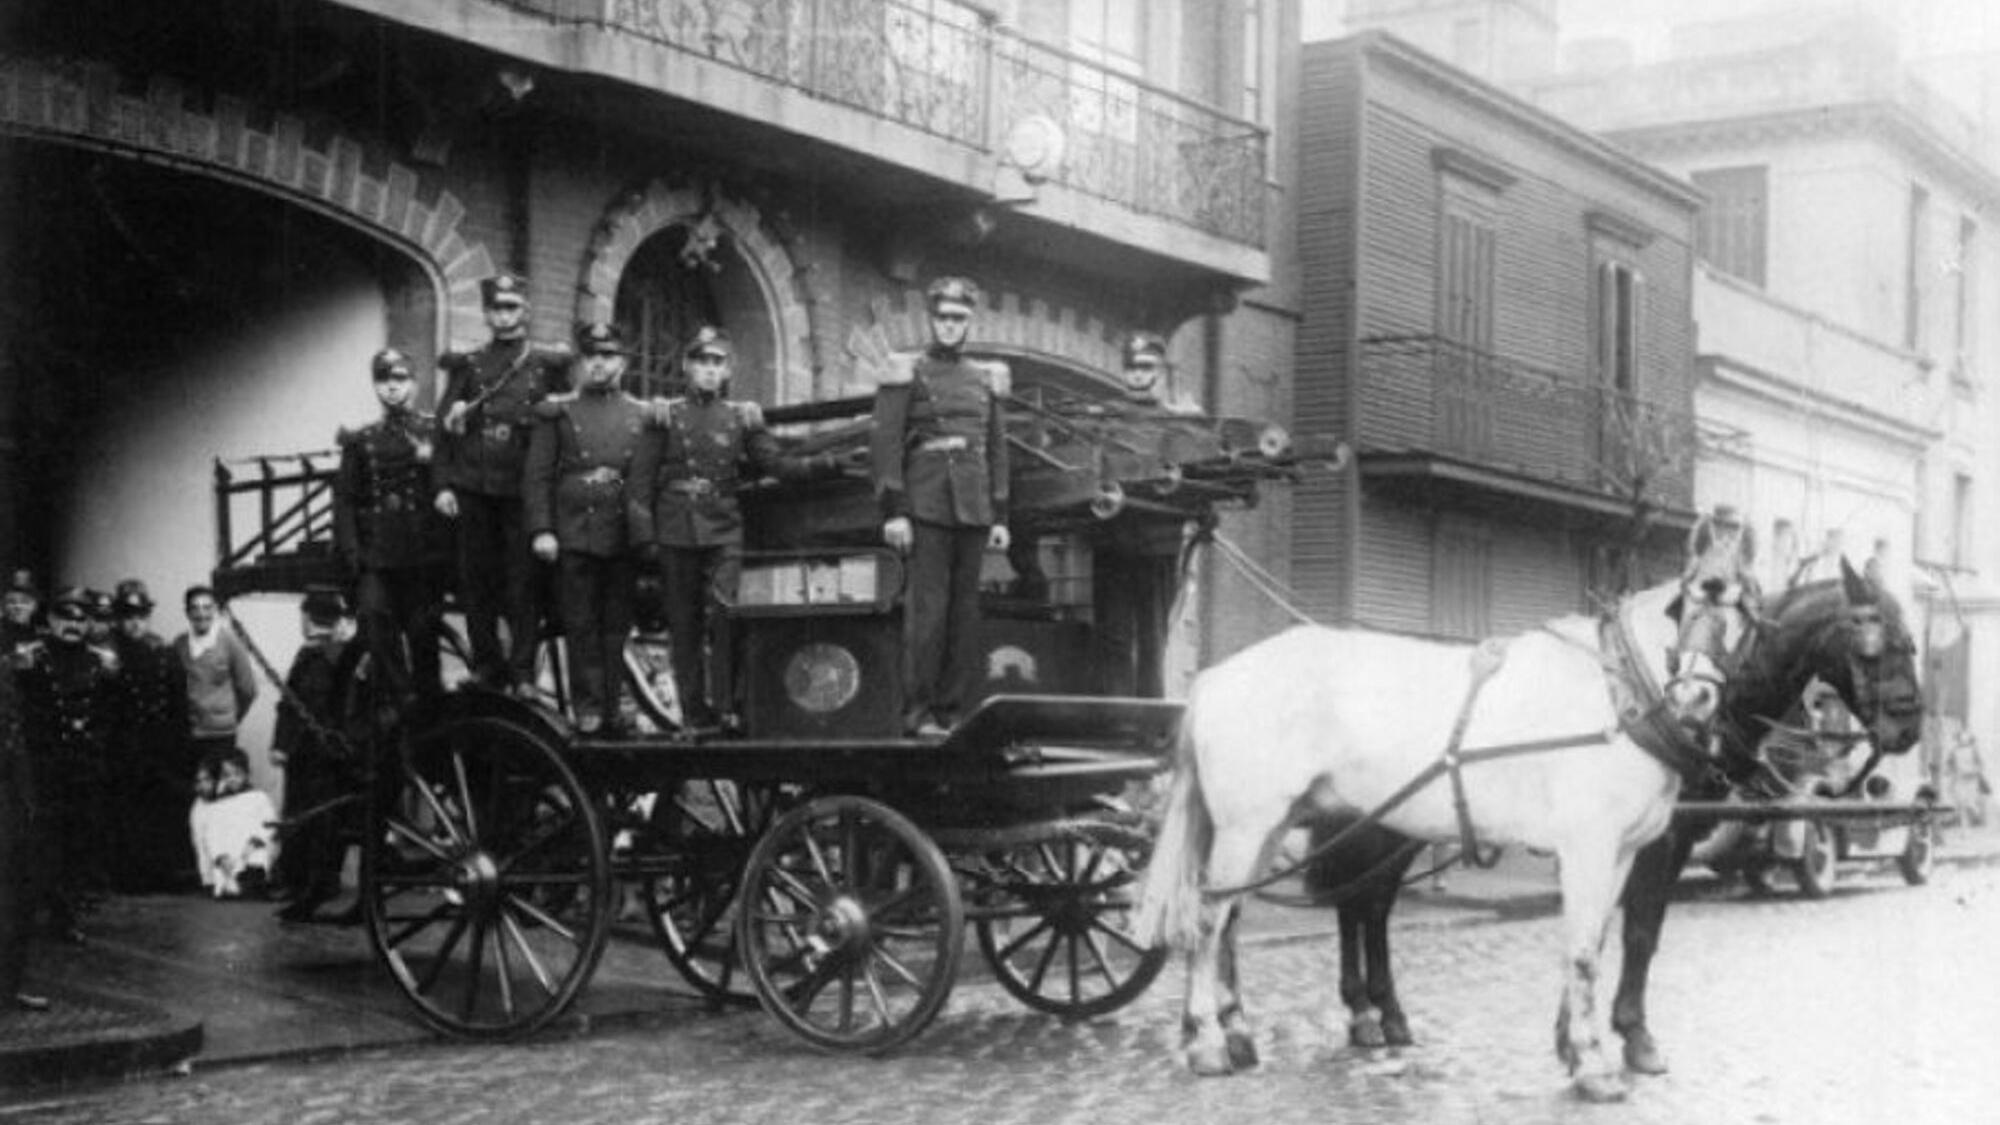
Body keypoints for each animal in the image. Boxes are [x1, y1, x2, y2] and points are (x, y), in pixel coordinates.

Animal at [190, 748, 280, 896]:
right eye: (227, 774)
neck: (237, 792)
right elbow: (212, 836)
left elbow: (266, 825)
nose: (232, 779)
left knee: (257, 847)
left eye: (237, 772)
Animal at [1136, 576, 1712, 1096]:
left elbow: (1593, 941)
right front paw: (1595, 1063)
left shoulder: (1623, 852)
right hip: (1249, 827)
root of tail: (1213, 677)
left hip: (1270, 828)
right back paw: (1209, 1043)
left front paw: (1575, 1047)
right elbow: (1595, 949)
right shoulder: (1592, 848)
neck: (1617, 694)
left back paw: (1236, 1033)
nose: (1698, 698)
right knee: (1209, 921)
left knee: (1233, 919)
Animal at [1296, 560, 1920, 1064]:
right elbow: (1639, 931)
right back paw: (1370, 1013)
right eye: (1873, 645)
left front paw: (1573, 1033)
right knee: (1364, 902)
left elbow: (1595, 931)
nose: (1909, 727)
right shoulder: (1658, 841)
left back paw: (1378, 1014)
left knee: (1366, 903)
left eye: (1913, 643)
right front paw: (1633, 1036)